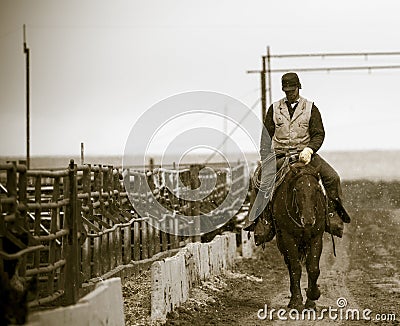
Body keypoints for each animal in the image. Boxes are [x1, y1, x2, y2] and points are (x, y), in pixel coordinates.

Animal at [274, 162, 326, 310]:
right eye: (296, 190)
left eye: (317, 189)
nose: (308, 220)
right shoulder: (288, 237)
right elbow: (295, 268)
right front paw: (297, 301)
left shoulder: (316, 237)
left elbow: (313, 268)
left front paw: (313, 296)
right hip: (282, 242)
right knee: (290, 265)